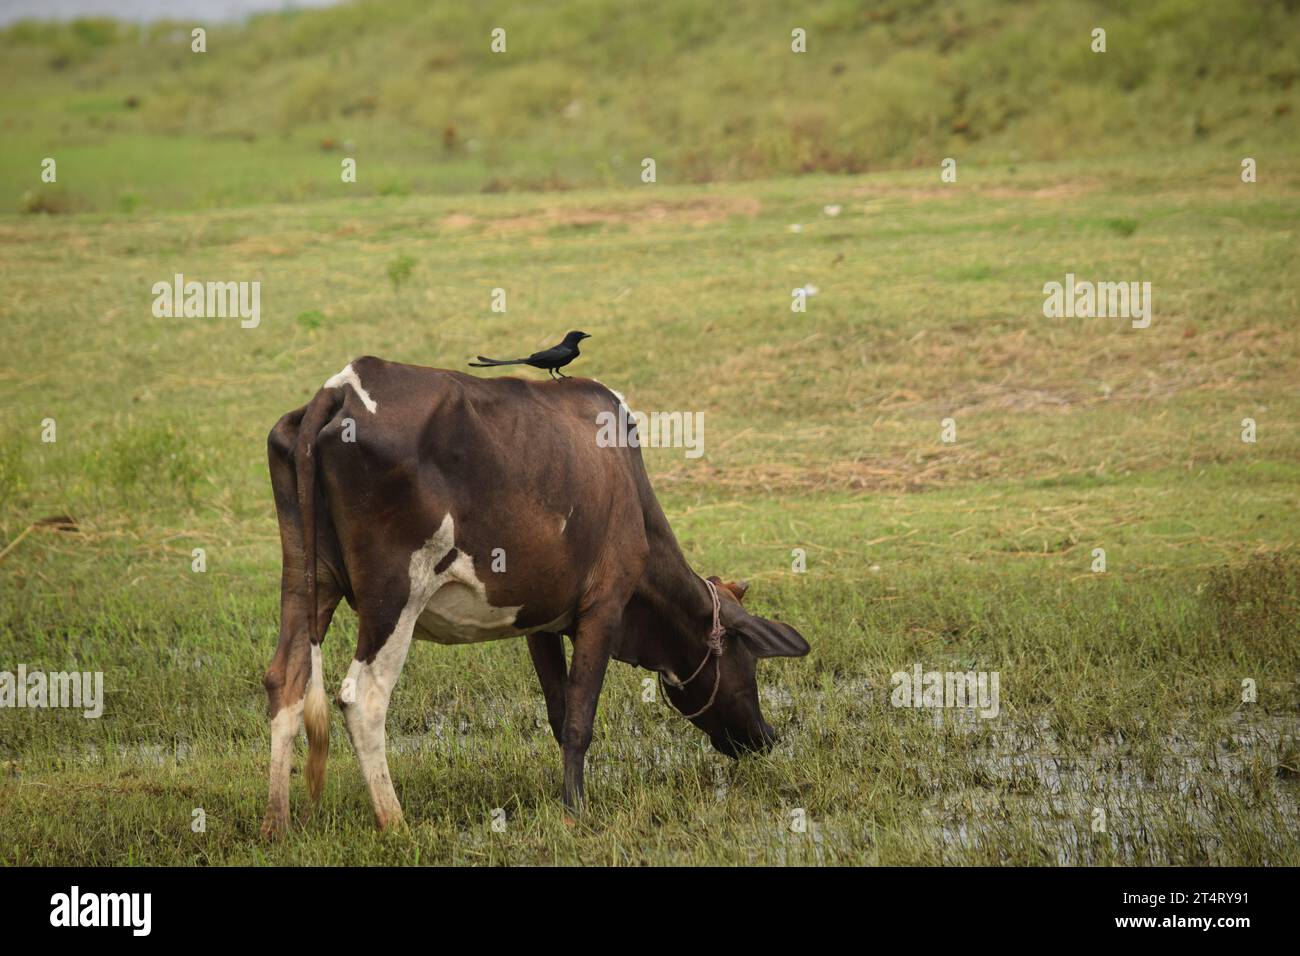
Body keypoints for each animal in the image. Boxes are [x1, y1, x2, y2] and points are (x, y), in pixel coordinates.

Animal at [261, 356, 810, 835]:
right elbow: (580, 719)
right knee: (363, 698)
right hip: (394, 595)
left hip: (308, 580)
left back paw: (277, 825)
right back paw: (394, 823)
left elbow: (559, 713)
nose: (765, 738)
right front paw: (576, 812)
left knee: (286, 679)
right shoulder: (605, 604)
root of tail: (342, 387)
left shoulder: (540, 619)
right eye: (748, 660)